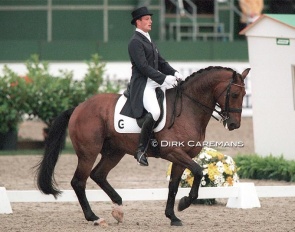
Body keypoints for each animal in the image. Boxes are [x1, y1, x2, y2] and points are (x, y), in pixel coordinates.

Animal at [35, 65, 251, 227]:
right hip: (88, 152)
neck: (189, 109)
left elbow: (173, 186)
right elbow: (198, 172)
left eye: (244, 94)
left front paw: (173, 216)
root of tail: (79, 107)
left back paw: (118, 206)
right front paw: (184, 204)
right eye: (234, 94)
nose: (234, 124)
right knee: (79, 182)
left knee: (98, 175)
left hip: (115, 152)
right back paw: (94, 217)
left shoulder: (182, 157)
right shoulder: (173, 152)